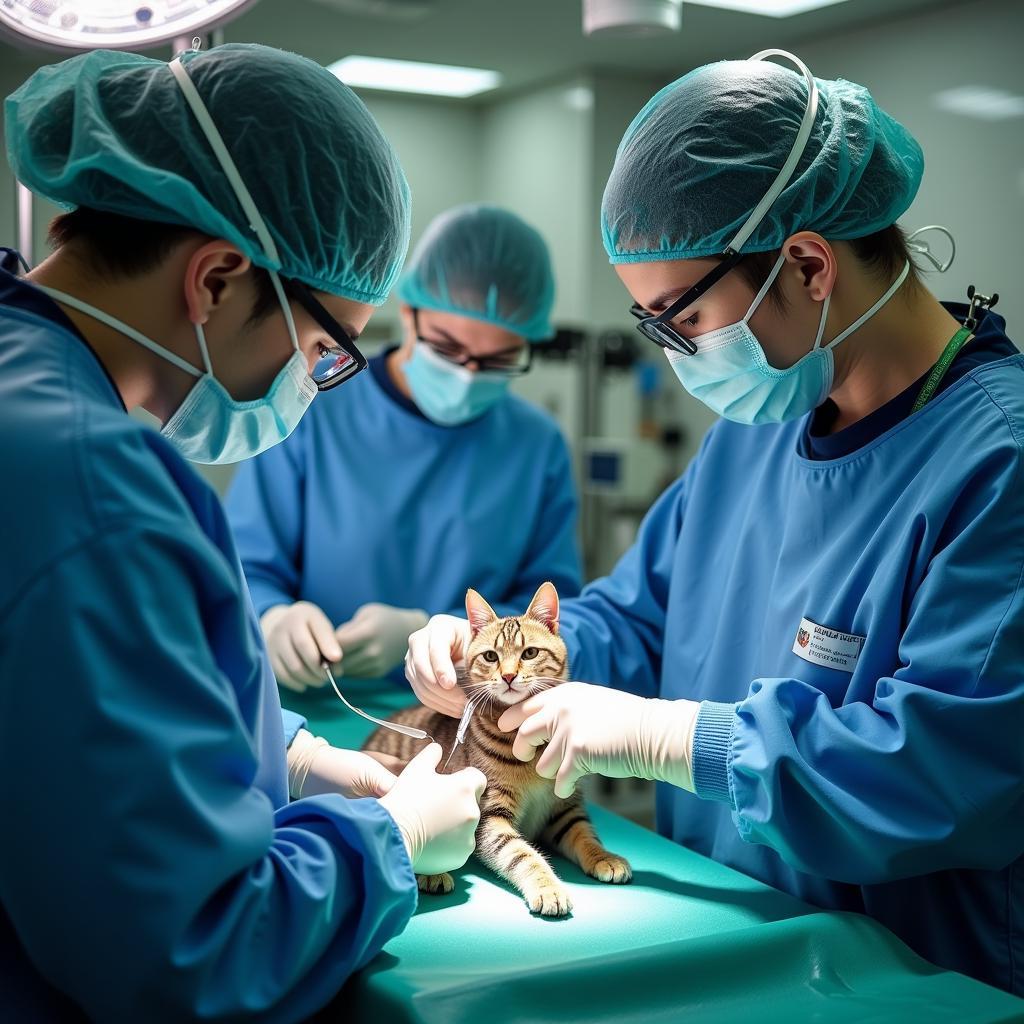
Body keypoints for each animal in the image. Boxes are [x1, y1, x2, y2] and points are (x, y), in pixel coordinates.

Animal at [360, 581, 630, 917]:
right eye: (490, 656)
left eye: (530, 653)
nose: (509, 676)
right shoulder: (491, 817)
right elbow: (520, 854)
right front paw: (548, 887)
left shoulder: (564, 808)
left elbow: (584, 833)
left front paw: (604, 856)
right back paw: (432, 873)